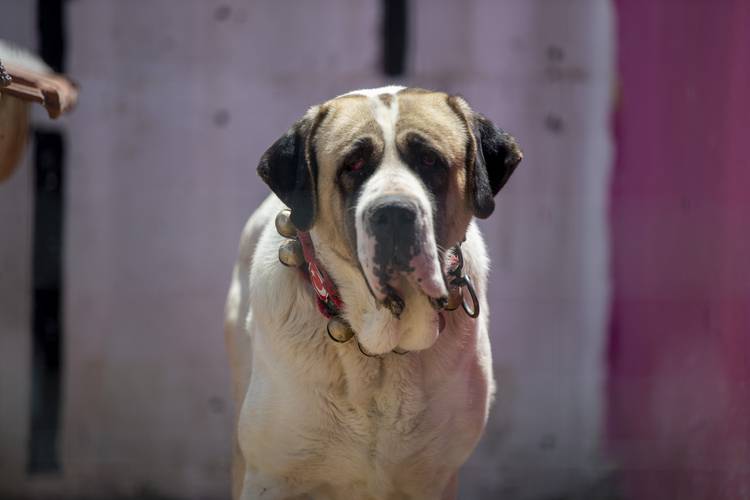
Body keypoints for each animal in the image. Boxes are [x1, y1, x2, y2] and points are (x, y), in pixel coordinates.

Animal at [225, 87, 524, 500]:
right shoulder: (271, 475)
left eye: (429, 160)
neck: (381, 349)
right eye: (352, 165)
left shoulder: (433, 478)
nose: (394, 212)